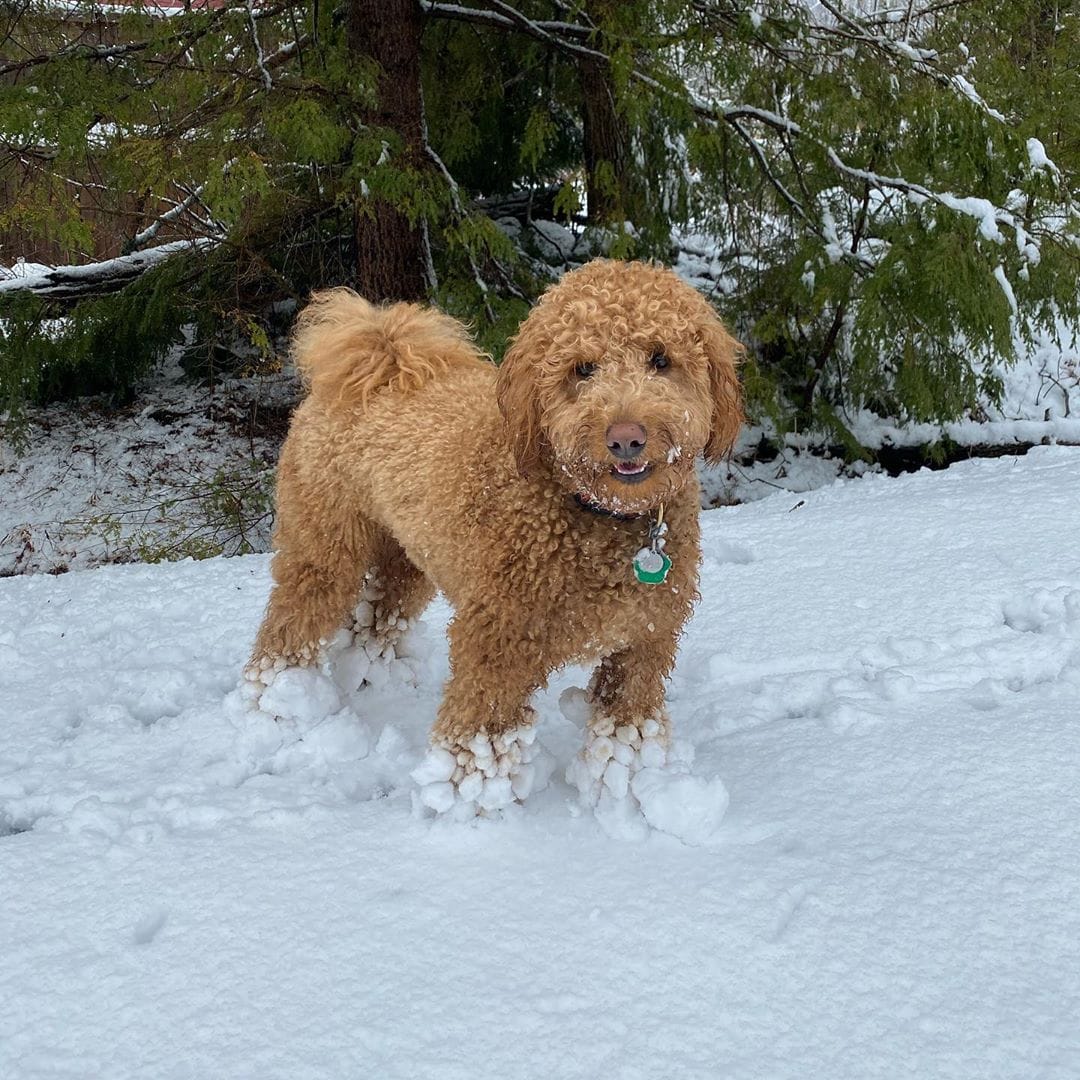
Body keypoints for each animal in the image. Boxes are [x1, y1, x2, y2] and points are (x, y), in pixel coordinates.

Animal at [245, 259, 743, 816]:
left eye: (661, 359)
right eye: (582, 369)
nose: (625, 438)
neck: (597, 516)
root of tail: (381, 353)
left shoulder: (645, 643)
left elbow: (625, 729)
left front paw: (630, 790)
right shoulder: (498, 638)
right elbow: (480, 734)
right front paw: (469, 803)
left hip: (407, 555)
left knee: (377, 618)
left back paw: (373, 676)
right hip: (324, 544)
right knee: (292, 625)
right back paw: (277, 708)